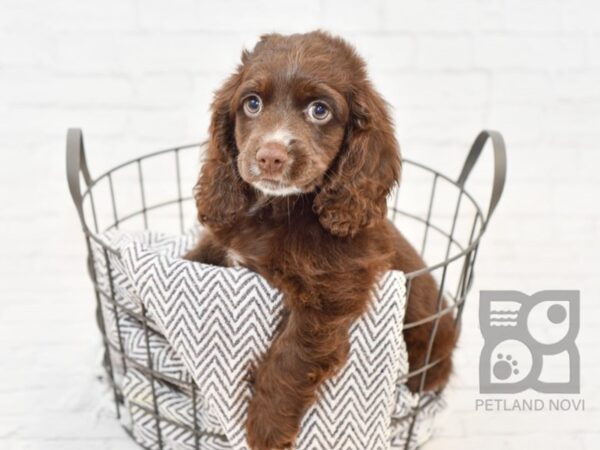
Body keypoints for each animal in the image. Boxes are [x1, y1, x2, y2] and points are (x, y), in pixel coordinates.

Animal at [185, 32, 458, 450]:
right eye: (252, 103)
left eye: (319, 110)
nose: (270, 157)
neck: (276, 211)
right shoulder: (220, 244)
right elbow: (192, 257)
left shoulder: (330, 296)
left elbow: (291, 355)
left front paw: (265, 427)